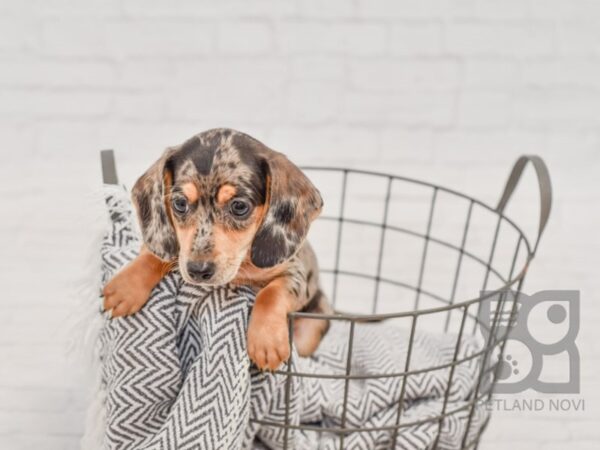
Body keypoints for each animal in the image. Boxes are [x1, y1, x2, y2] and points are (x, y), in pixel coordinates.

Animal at [103, 128, 332, 370]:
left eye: (239, 206)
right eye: (180, 203)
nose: (198, 271)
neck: (241, 265)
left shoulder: (297, 274)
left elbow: (271, 294)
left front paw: (266, 341)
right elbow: (158, 254)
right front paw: (126, 287)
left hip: (312, 328)